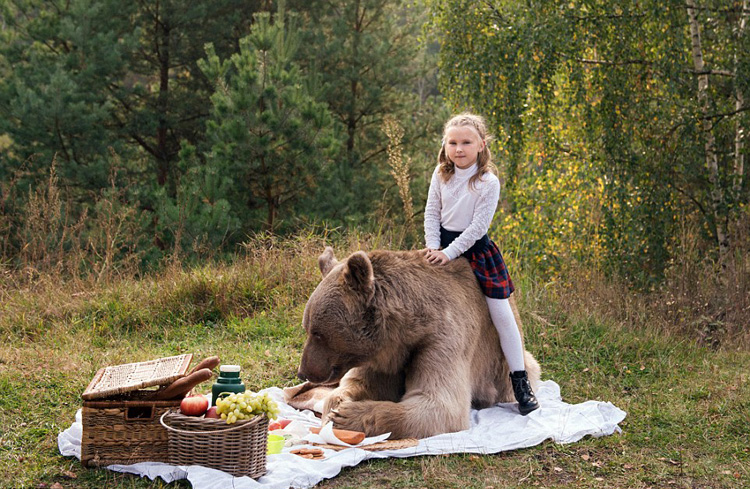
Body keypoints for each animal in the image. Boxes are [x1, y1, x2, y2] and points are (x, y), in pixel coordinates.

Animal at [296, 248, 544, 438]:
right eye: (307, 327)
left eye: (318, 333)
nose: (303, 372)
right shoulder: (382, 356)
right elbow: (358, 383)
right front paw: (336, 407)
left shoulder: (442, 337)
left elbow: (439, 403)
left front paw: (346, 416)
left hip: (502, 365)